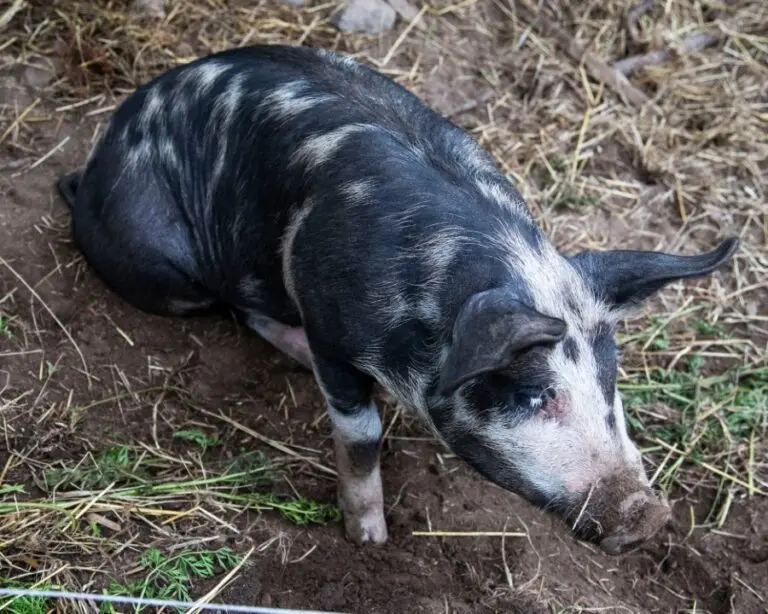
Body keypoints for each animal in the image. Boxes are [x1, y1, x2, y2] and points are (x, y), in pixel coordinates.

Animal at [56, 44, 739, 555]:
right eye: (536, 394)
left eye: (610, 384)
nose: (648, 515)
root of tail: (94, 164)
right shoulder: (332, 324)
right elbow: (360, 437)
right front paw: (370, 540)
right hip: (169, 272)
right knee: (236, 306)